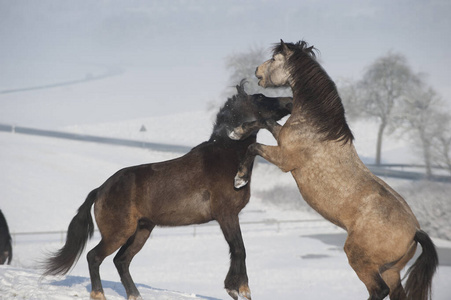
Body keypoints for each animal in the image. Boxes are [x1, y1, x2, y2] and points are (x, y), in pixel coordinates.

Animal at [43, 79, 294, 300]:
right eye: (260, 97)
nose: (291, 101)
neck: (226, 157)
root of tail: (101, 189)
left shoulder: (230, 216)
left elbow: (238, 249)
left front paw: (239, 288)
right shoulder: (226, 215)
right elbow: (239, 249)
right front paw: (238, 289)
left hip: (142, 230)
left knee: (121, 261)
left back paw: (135, 296)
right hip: (119, 232)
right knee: (94, 257)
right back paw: (99, 294)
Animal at [230, 41, 438, 300]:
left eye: (275, 59)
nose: (257, 71)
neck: (318, 130)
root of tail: (415, 231)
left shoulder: (284, 159)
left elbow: (254, 145)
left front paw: (239, 179)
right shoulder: (281, 139)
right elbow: (265, 122)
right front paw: (238, 131)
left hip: (361, 259)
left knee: (378, 290)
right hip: (391, 270)